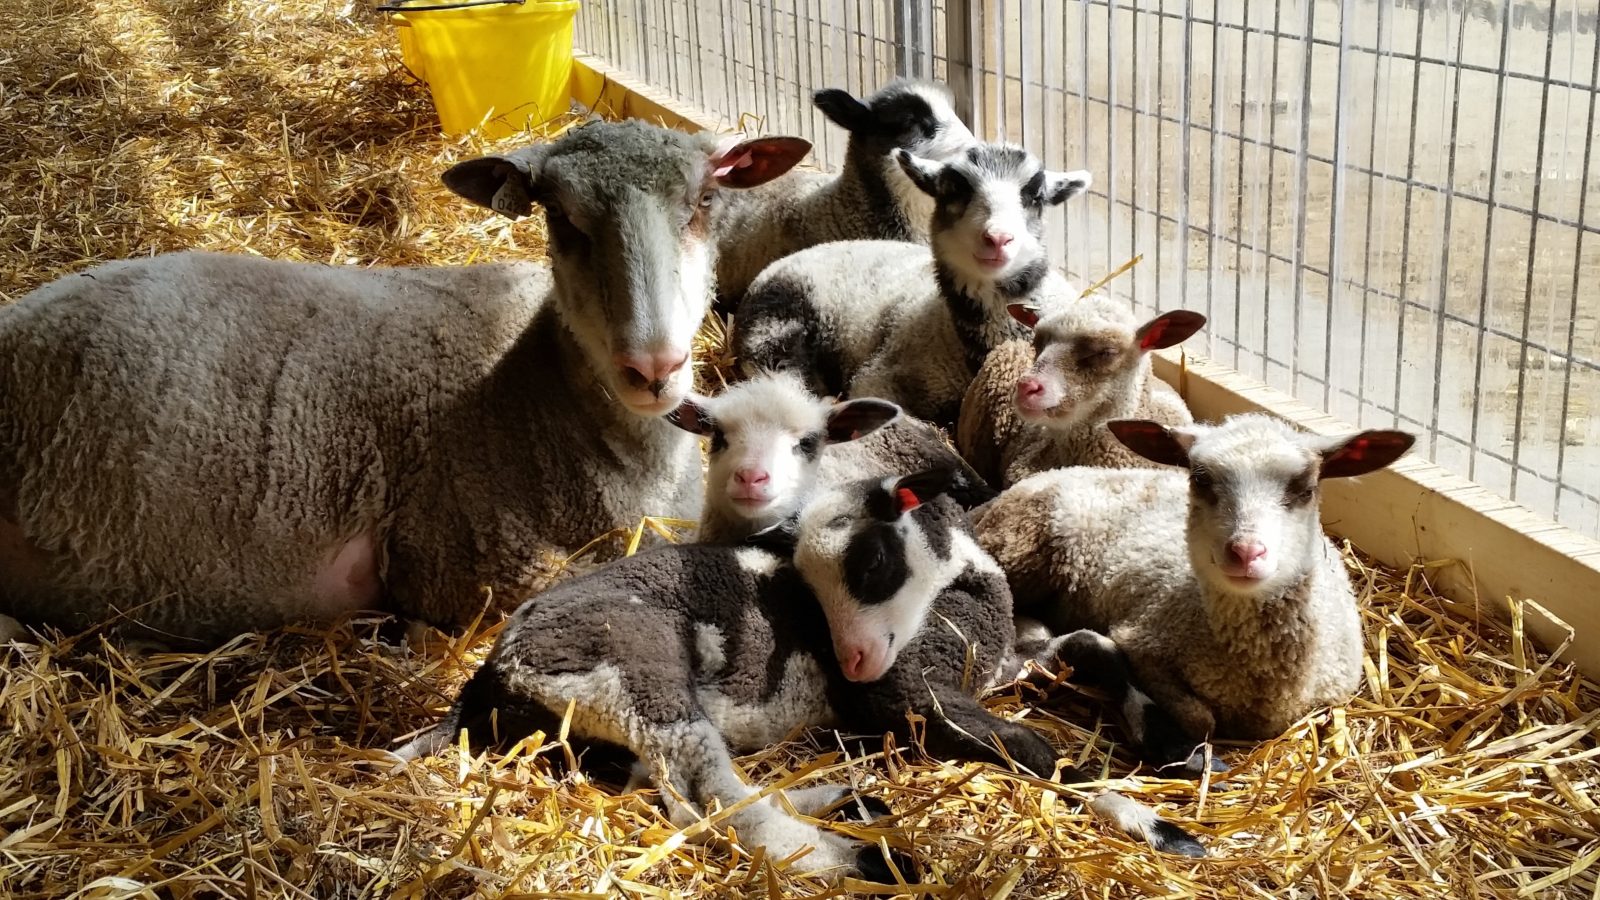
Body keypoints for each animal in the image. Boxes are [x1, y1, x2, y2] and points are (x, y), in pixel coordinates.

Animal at [972, 413, 1414, 755]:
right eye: (1200, 480)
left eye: (1305, 488)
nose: (1246, 552)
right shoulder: (1141, 642)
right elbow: (1201, 721)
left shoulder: (1335, 692)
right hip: (1025, 549)